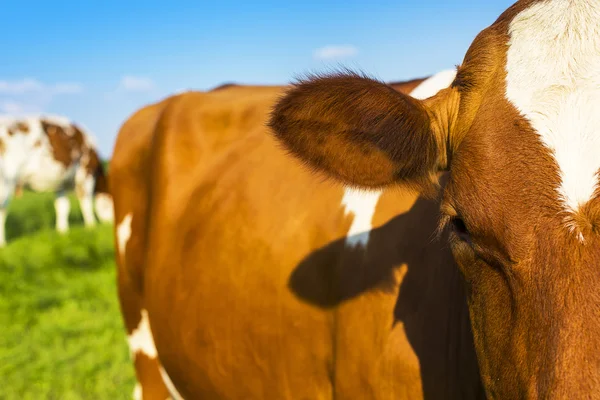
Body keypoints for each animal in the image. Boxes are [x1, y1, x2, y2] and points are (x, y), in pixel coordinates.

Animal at [0, 115, 113, 245]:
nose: (110, 224)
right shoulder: (85, 173)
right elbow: (86, 203)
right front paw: (91, 227)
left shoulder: (60, 183)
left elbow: (62, 207)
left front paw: (62, 231)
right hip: (7, 178)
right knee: (2, 209)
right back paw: (2, 243)